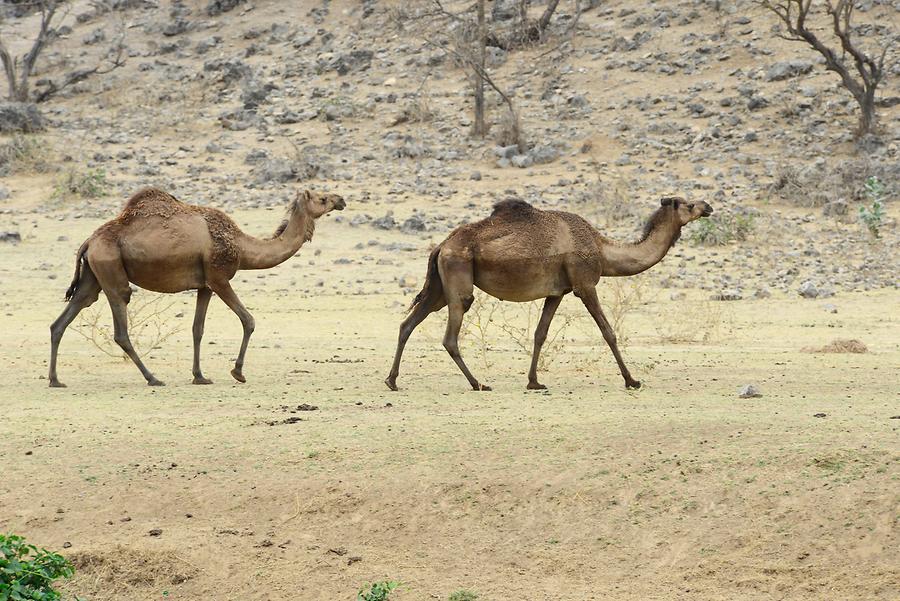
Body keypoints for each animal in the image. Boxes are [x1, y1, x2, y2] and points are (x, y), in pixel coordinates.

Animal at [49, 185, 344, 386]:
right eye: (322, 198)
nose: (341, 199)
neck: (242, 245)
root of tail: (89, 241)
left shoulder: (205, 286)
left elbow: (197, 330)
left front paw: (200, 376)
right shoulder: (219, 277)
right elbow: (248, 320)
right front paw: (237, 372)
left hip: (92, 277)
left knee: (64, 318)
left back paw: (55, 380)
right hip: (111, 272)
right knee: (121, 326)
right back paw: (153, 378)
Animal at [384, 197, 712, 392]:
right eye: (687, 203)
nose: (708, 205)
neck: (602, 249)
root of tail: (442, 245)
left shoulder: (558, 292)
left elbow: (540, 333)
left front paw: (534, 382)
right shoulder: (584, 284)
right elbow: (608, 332)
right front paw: (632, 380)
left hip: (439, 288)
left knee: (408, 323)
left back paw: (392, 381)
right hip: (458, 275)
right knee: (450, 334)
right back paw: (478, 383)